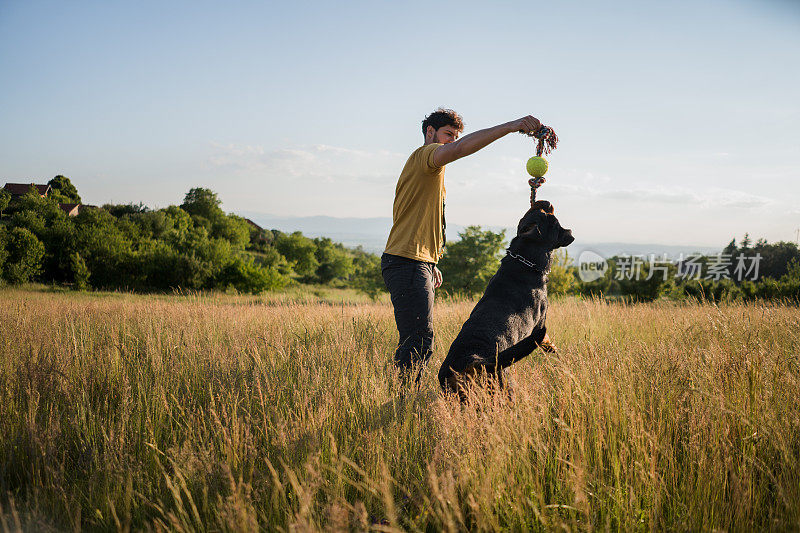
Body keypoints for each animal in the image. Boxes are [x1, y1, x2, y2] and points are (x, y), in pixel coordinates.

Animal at [438, 201, 576, 400]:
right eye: (552, 220)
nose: (546, 202)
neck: (524, 262)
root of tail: (472, 361)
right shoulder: (541, 319)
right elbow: (545, 337)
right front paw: (551, 347)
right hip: (505, 386)